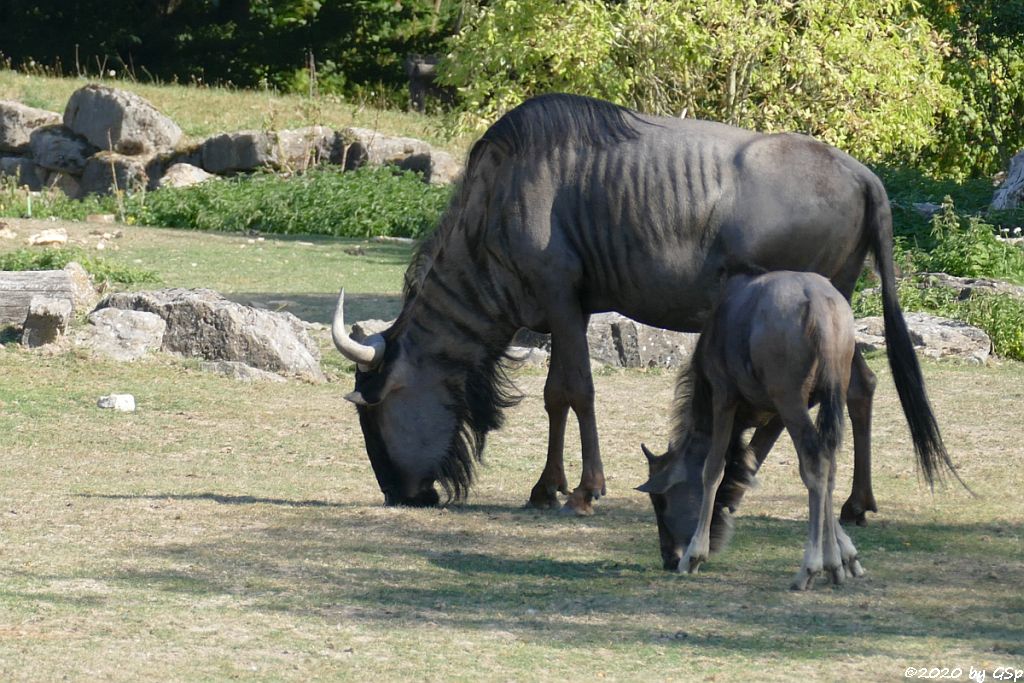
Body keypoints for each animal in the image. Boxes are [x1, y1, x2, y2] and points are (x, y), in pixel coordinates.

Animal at [638, 270, 864, 589]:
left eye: (660, 502)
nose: (668, 557)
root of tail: (821, 305)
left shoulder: (724, 397)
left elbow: (712, 469)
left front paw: (694, 555)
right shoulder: (777, 416)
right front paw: (847, 556)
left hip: (789, 398)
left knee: (815, 459)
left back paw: (809, 568)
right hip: (829, 394)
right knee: (826, 460)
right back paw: (830, 564)